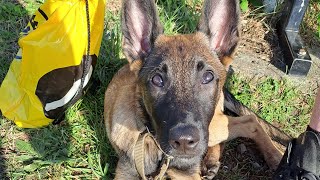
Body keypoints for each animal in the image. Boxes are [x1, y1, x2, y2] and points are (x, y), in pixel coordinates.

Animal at [104, 0, 290, 178]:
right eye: (157, 80)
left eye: (207, 77)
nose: (184, 141)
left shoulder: (188, 174)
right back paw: (211, 161)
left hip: (212, 127)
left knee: (250, 121)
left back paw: (275, 156)